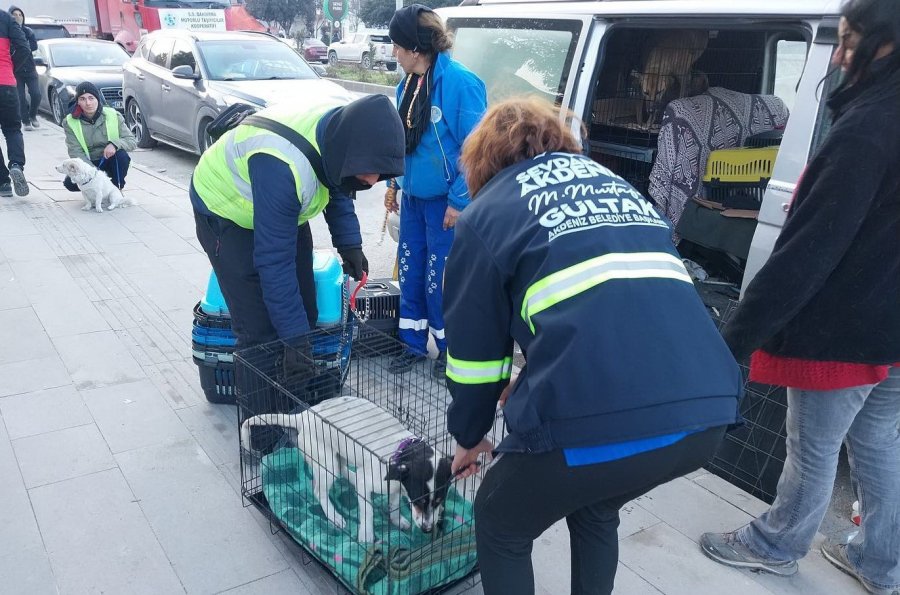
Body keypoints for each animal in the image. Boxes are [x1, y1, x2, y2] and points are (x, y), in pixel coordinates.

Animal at [239, 398, 454, 544]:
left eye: (439, 500)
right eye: (419, 501)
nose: (427, 529)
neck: (401, 450)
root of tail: (303, 416)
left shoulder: (396, 486)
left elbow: (393, 505)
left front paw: (397, 520)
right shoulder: (368, 482)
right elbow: (368, 510)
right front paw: (366, 534)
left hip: (339, 455)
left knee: (344, 471)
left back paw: (351, 478)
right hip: (328, 464)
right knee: (319, 490)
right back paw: (334, 516)